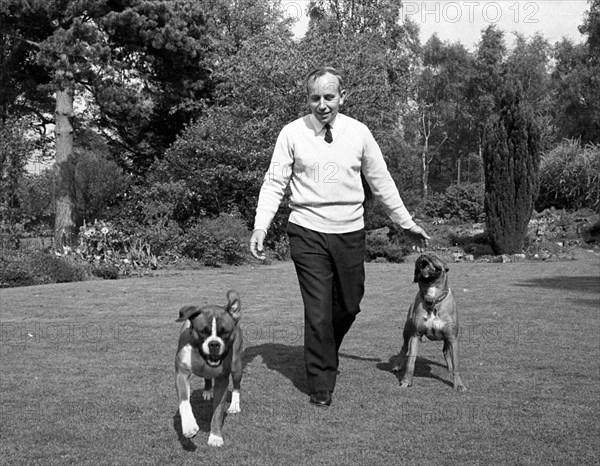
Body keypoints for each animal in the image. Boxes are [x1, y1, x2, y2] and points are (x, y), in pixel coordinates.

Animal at [392, 253, 466, 392]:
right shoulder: (416, 336)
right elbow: (411, 363)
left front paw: (458, 384)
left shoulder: (452, 338)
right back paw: (398, 364)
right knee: (404, 347)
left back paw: (449, 366)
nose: (423, 255)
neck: (433, 298)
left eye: (433, 256)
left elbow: (457, 366)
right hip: (407, 330)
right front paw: (406, 381)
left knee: (446, 351)